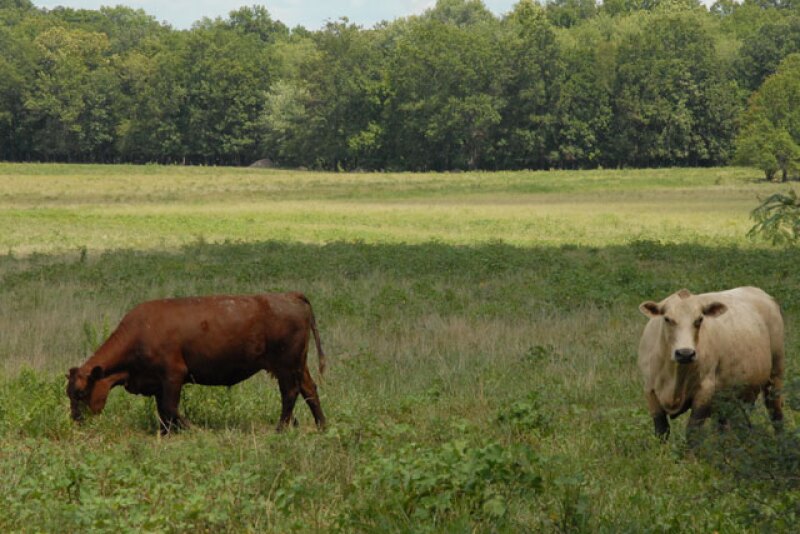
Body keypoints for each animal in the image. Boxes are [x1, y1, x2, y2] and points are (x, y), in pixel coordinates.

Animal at [66, 292, 326, 434]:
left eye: (80, 393)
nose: (76, 420)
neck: (140, 332)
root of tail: (290, 295)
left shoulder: (173, 375)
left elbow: (170, 408)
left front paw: (193, 429)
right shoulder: (158, 383)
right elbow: (163, 411)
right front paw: (166, 433)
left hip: (286, 367)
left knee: (290, 393)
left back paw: (280, 429)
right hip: (299, 365)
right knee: (310, 390)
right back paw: (322, 426)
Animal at [637, 287, 784, 442]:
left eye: (699, 320)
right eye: (667, 319)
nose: (685, 353)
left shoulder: (705, 391)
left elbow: (693, 431)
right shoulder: (649, 390)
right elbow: (661, 431)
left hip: (775, 375)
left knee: (776, 413)